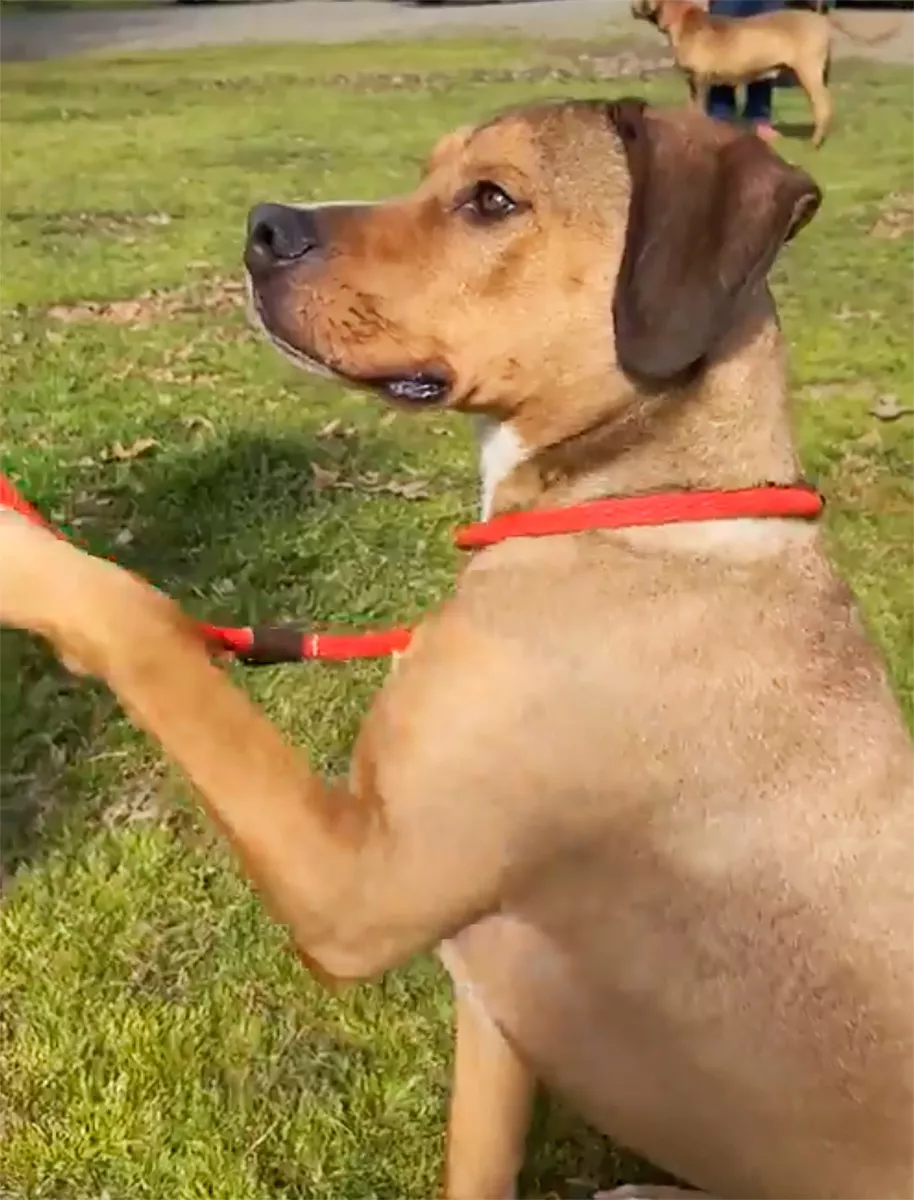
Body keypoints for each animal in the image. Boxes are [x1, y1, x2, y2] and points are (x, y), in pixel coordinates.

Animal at [1, 96, 911, 1200]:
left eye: (491, 199)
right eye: (429, 170)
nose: (263, 226)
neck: (637, 501)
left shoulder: (360, 889)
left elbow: (145, 628)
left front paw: (22, 554)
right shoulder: (493, 1014)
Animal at [633, 0, 897, 147]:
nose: (633, 8)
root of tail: (821, 19)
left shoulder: (701, 79)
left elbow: (698, 111)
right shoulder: (692, 81)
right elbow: (691, 110)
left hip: (807, 70)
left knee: (822, 104)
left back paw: (814, 142)